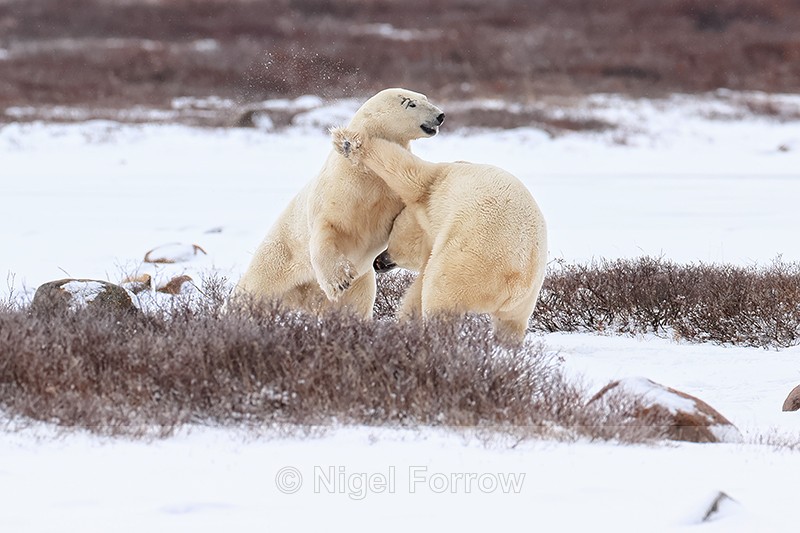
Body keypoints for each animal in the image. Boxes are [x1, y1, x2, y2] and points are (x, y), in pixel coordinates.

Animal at [234, 88, 445, 318]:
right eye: (411, 104)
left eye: (425, 98)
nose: (440, 115)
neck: (363, 173)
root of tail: (304, 297)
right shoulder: (336, 192)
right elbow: (327, 228)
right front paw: (339, 280)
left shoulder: (390, 194)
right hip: (275, 259)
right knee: (251, 290)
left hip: (362, 283)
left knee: (357, 305)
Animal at [331, 127, 548, 345]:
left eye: (390, 236)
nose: (377, 262)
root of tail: (514, 280)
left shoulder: (435, 187)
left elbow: (406, 170)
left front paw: (347, 140)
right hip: (525, 300)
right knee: (510, 325)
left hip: (468, 265)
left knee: (439, 297)